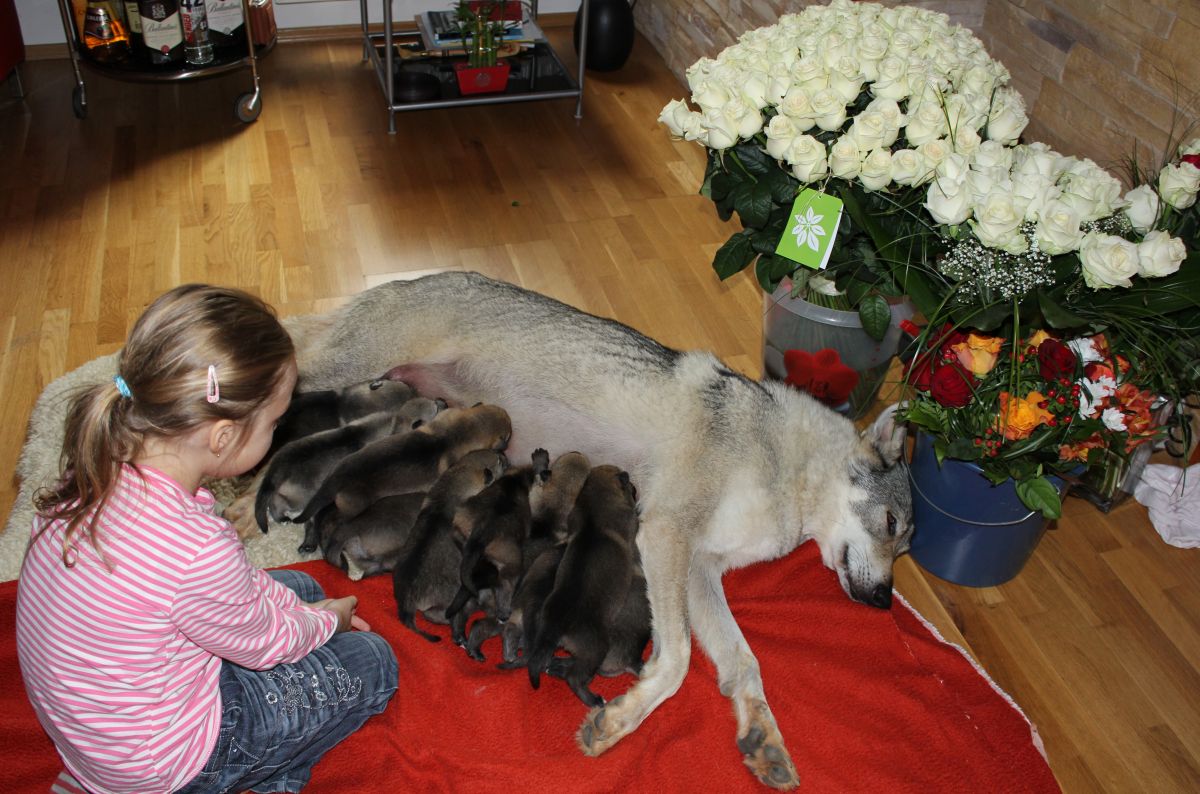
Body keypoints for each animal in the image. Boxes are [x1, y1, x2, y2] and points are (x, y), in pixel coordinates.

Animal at [523, 467, 638, 710]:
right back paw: (594, 699)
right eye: (631, 487)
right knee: (575, 677)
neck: (595, 502)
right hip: (597, 648)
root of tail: (557, 625)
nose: (635, 487)